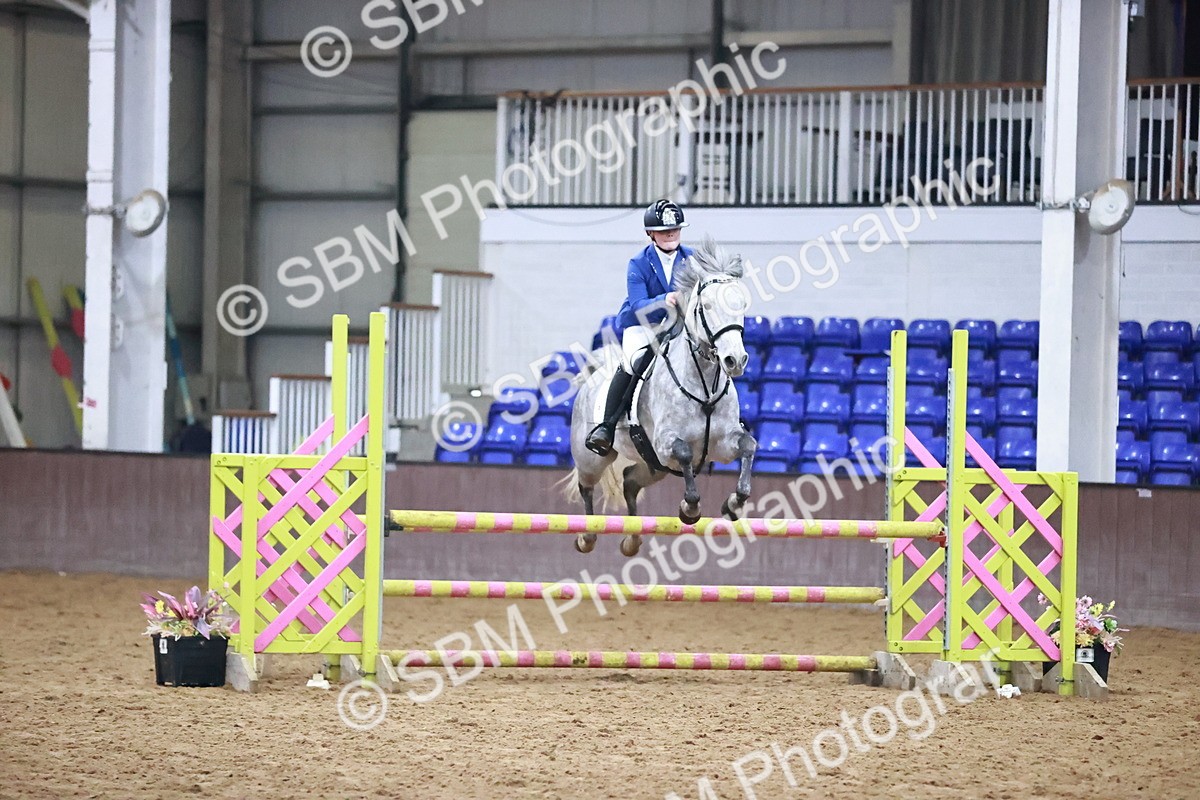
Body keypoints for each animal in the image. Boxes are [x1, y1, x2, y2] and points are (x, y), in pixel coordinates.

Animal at [562, 236, 758, 557]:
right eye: (706, 306)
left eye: (741, 304)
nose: (735, 360)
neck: (703, 382)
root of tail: (592, 374)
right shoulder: (667, 443)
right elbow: (685, 452)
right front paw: (689, 509)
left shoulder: (724, 443)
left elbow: (748, 447)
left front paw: (733, 505)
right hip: (593, 458)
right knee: (586, 487)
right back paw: (586, 536)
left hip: (654, 466)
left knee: (630, 482)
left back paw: (632, 539)